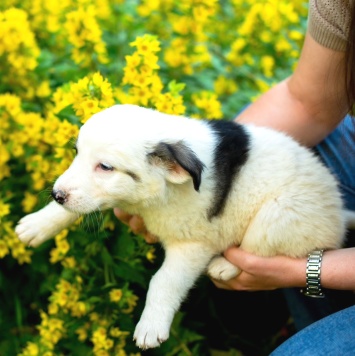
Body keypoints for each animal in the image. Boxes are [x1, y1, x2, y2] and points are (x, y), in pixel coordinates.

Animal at [16, 104, 355, 350]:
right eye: (76, 153)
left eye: (106, 167)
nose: (56, 193)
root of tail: (339, 211)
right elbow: (76, 207)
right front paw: (38, 223)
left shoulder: (192, 246)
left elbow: (163, 281)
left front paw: (150, 325)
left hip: (278, 214)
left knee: (262, 248)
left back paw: (225, 266)